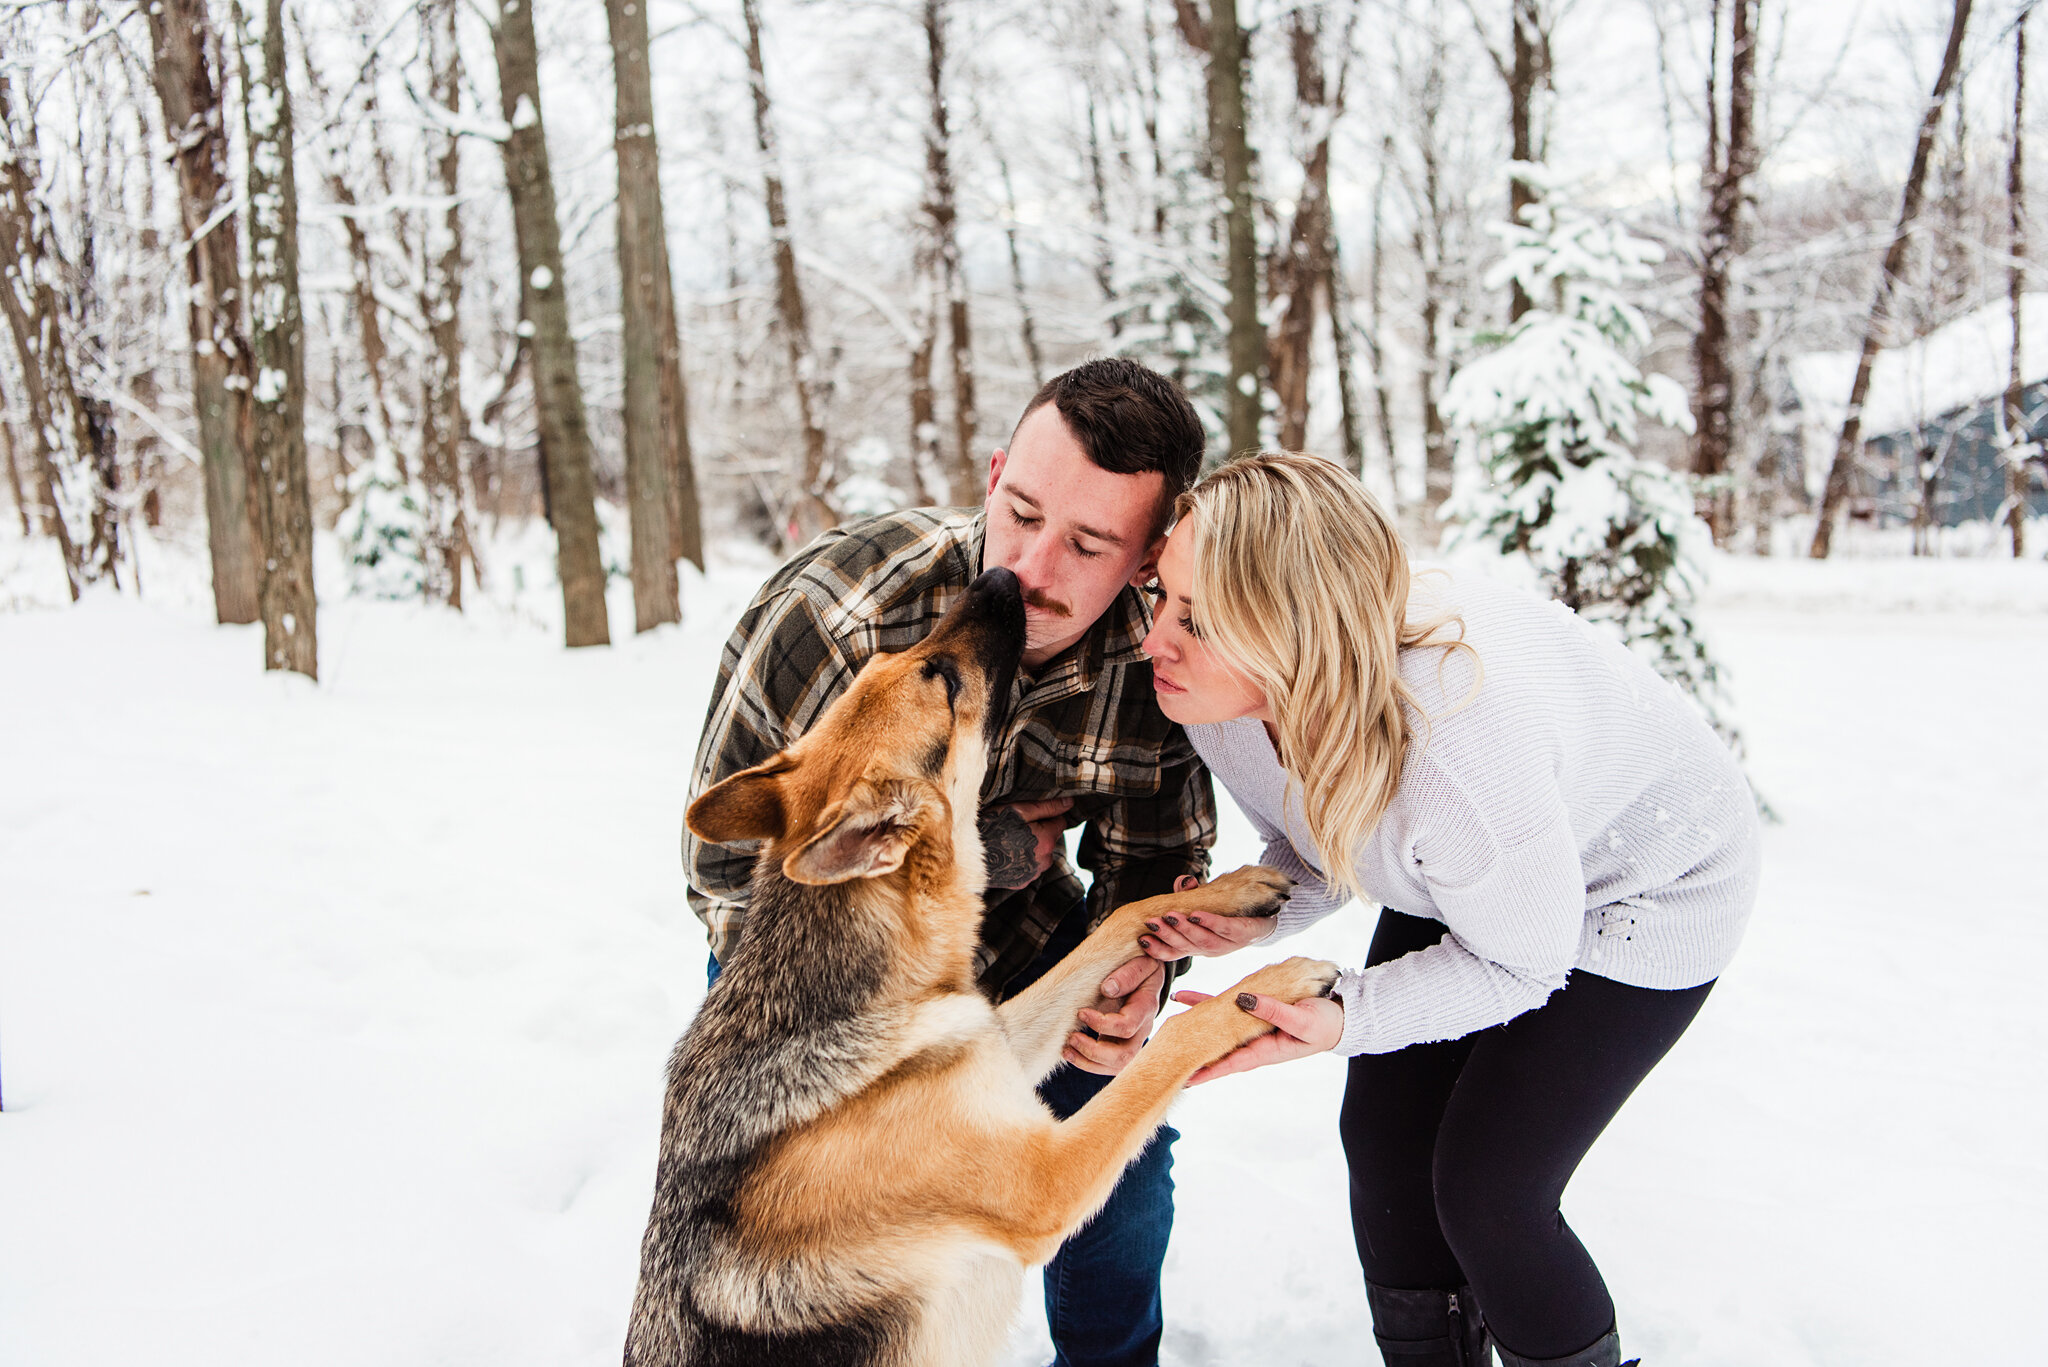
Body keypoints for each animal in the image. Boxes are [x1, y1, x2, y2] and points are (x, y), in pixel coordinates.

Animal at [626, 561, 1343, 1360]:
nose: (999, 573)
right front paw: (1273, 987)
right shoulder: (1044, 1177)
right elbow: (1175, 1042)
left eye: (891, 661)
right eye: (940, 678)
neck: (857, 997)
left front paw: (1230, 892)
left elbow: (1124, 919)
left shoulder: (993, 1036)